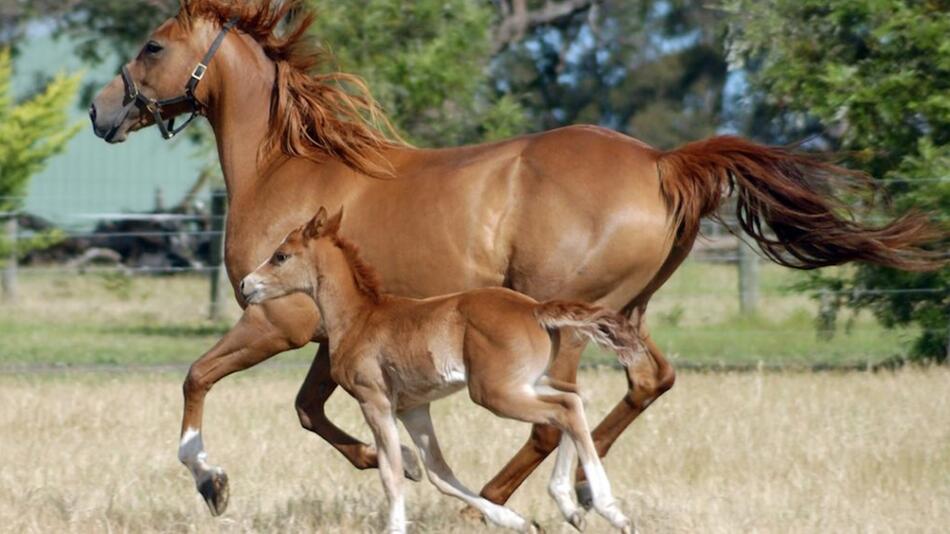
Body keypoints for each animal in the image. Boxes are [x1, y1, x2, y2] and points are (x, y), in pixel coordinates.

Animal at [242, 207, 652, 532]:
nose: (247, 285)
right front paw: (514, 520)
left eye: (280, 256)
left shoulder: (374, 400)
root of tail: (534, 309)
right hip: (526, 384)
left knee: (564, 410)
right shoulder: (413, 408)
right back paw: (572, 504)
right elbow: (438, 472)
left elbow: (392, 473)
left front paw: (395, 527)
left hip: (494, 393)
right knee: (574, 402)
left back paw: (607, 509)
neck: (360, 317)